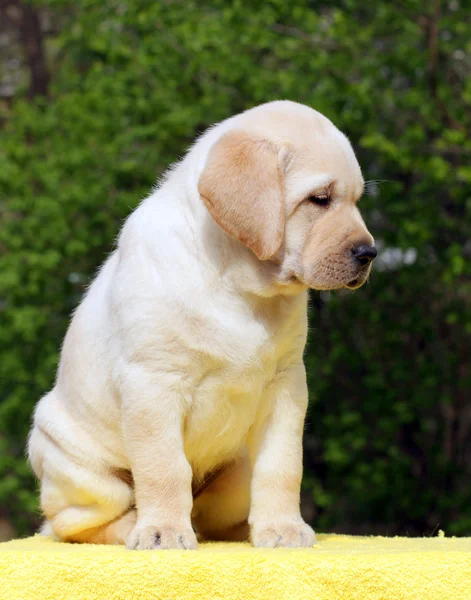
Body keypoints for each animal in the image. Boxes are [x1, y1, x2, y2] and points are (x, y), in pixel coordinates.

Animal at [28, 99, 376, 548]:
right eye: (319, 199)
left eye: (356, 200)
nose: (369, 253)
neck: (240, 285)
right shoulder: (153, 383)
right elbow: (163, 467)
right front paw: (162, 532)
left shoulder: (285, 385)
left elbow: (282, 466)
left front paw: (282, 529)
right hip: (80, 468)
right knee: (76, 524)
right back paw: (137, 528)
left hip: (235, 475)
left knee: (211, 515)